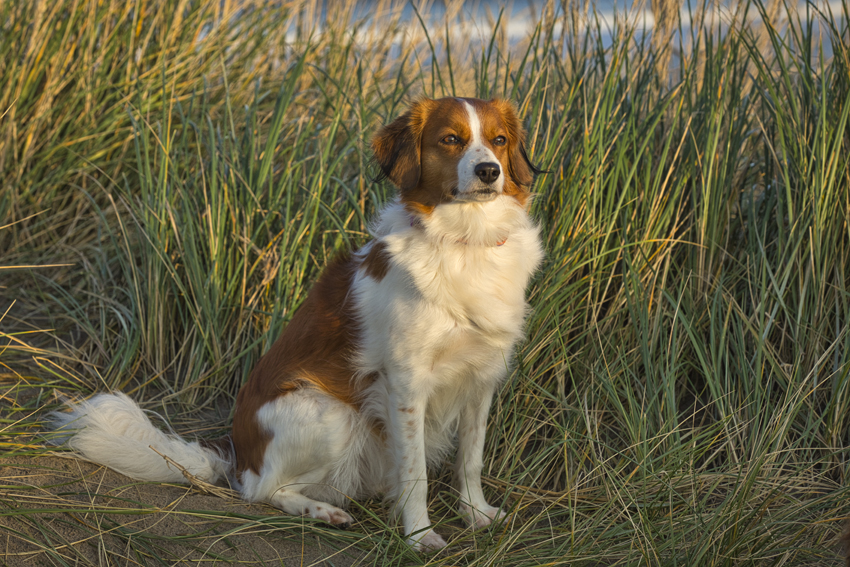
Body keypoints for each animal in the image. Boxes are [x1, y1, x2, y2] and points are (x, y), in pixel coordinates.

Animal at [49, 96, 544, 552]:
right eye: (451, 139)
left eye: (499, 140)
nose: (489, 171)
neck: (465, 243)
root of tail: (237, 454)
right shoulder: (405, 384)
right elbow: (414, 471)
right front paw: (420, 535)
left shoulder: (482, 375)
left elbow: (471, 458)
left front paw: (477, 514)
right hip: (333, 415)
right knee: (264, 490)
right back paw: (322, 511)